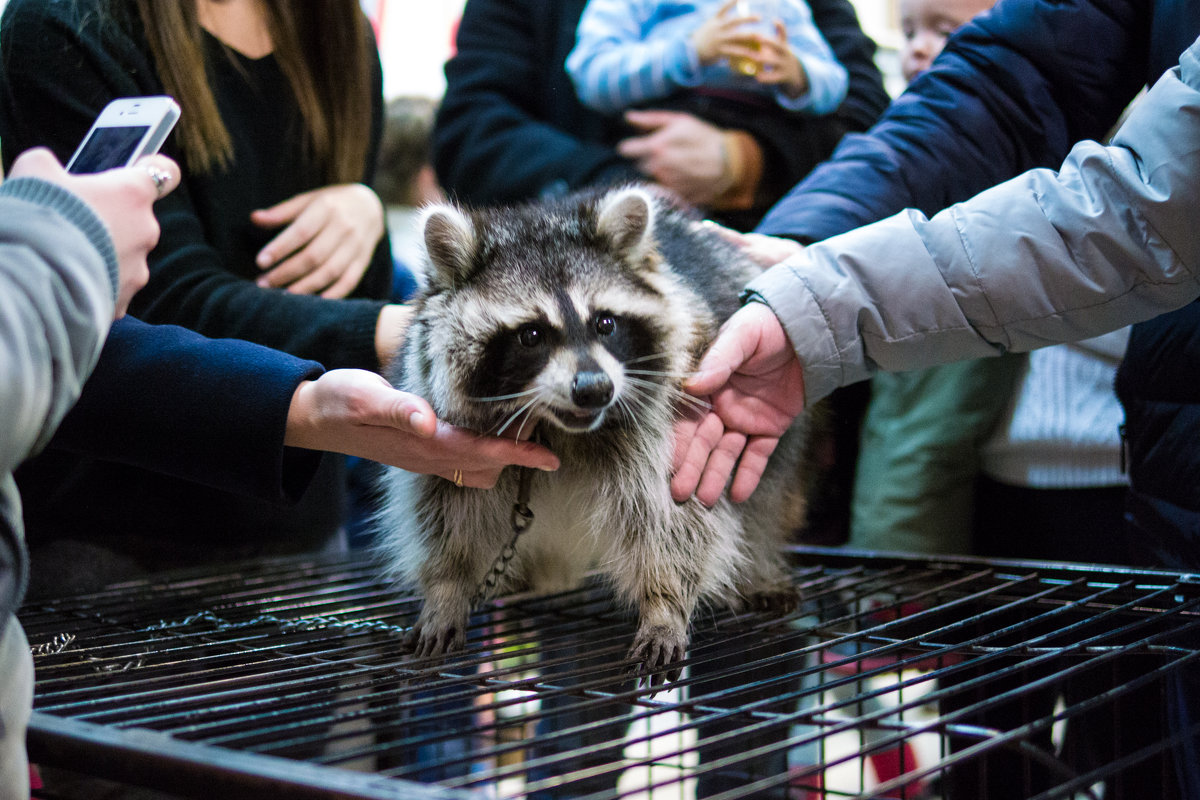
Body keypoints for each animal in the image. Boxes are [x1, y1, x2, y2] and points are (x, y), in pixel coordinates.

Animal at [374, 185, 806, 681]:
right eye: (531, 335)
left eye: (605, 322)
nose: (595, 389)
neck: (554, 427)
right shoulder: (446, 439)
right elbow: (447, 510)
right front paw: (447, 588)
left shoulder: (666, 423)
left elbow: (673, 518)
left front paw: (664, 607)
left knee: (762, 497)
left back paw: (760, 567)